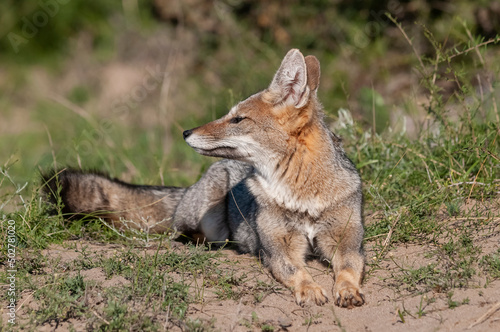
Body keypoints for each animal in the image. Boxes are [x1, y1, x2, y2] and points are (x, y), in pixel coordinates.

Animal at [44, 49, 364, 308]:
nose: (186, 132)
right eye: (230, 115)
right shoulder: (278, 249)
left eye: (237, 119)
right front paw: (310, 289)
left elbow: (349, 268)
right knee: (181, 232)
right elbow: (297, 271)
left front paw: (348, 290)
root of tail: (189, 188)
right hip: (208, 217)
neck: (301, 195)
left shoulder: (347, 240)